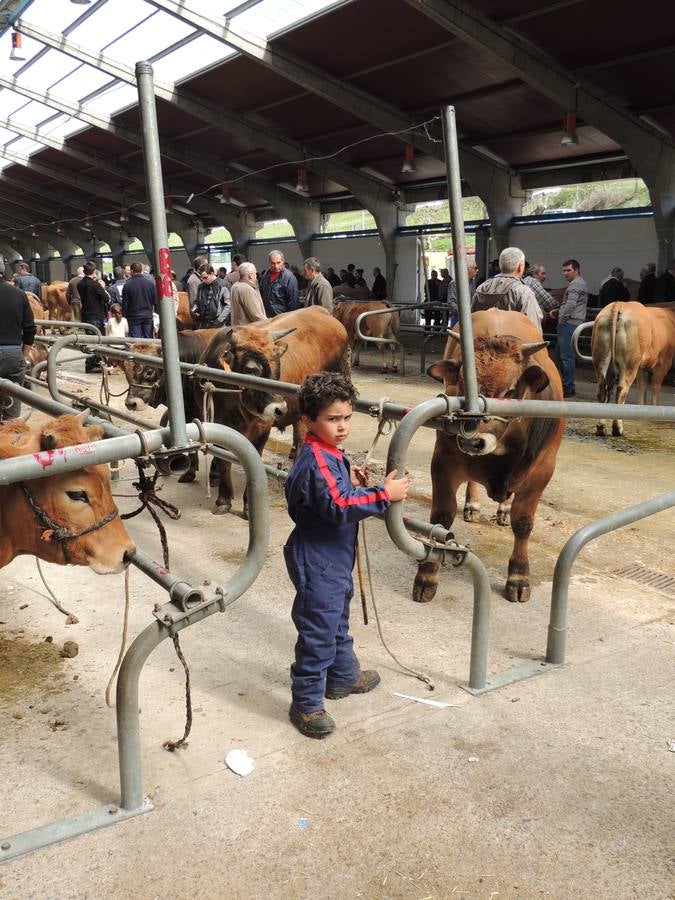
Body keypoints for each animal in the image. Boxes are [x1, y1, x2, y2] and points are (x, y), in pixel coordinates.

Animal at [198, 306, 352, 512]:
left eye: (278, 367)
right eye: (251, 370)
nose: (280, 409)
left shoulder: (262, 429)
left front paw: (248, 504)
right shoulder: (218, 423)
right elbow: (224, 462)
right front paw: (224, 499)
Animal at [418, 310, 564, 604]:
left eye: (509, 391)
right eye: (462, 386)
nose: (473, 440)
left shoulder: (542, 470)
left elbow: (523, 523)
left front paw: (518, 576)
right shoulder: (444, 460)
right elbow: (441, 516)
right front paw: (427, 575)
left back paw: (504, 509)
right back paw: (472, 505)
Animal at [592, 300, 675, 438]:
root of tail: (619, 304)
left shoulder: (641, 367)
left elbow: (642, 386)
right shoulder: (663, 363)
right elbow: (655, 387)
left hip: (601, 359)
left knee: (602, 389)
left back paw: (601, 428)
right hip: (629, 364)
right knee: (621, 390)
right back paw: (617, 428)